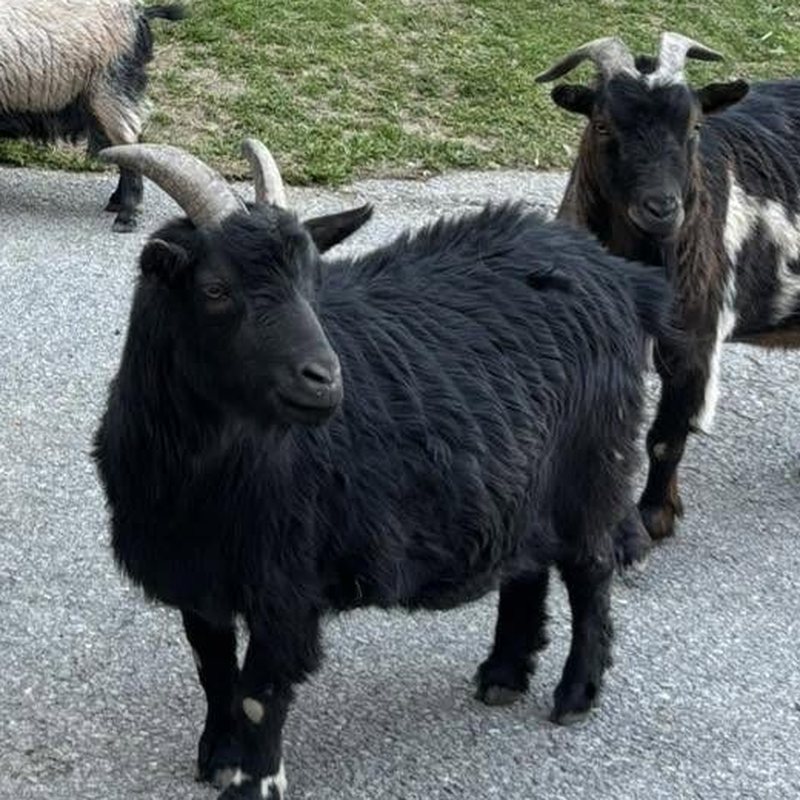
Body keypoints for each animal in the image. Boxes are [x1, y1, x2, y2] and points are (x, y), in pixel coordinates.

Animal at [93, 139, 671, 799]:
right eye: (215, 289)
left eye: (312, 280)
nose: (324, 379)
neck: (199, 474)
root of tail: (619, 275)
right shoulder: (198, 575)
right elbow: (211, 668)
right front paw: (216, 756)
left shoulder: (285, 585)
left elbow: (259, 692)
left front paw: (252, 779)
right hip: (524, 479)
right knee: (527, 563)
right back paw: (503, 673)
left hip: (594, 466)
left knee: (589, 569)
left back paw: (576, 692)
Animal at [537, 32, 800, 545]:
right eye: (603, 125)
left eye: (695, 125)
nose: (661, 208)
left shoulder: (694, 341)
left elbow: (664, 438)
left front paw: (654, 516)